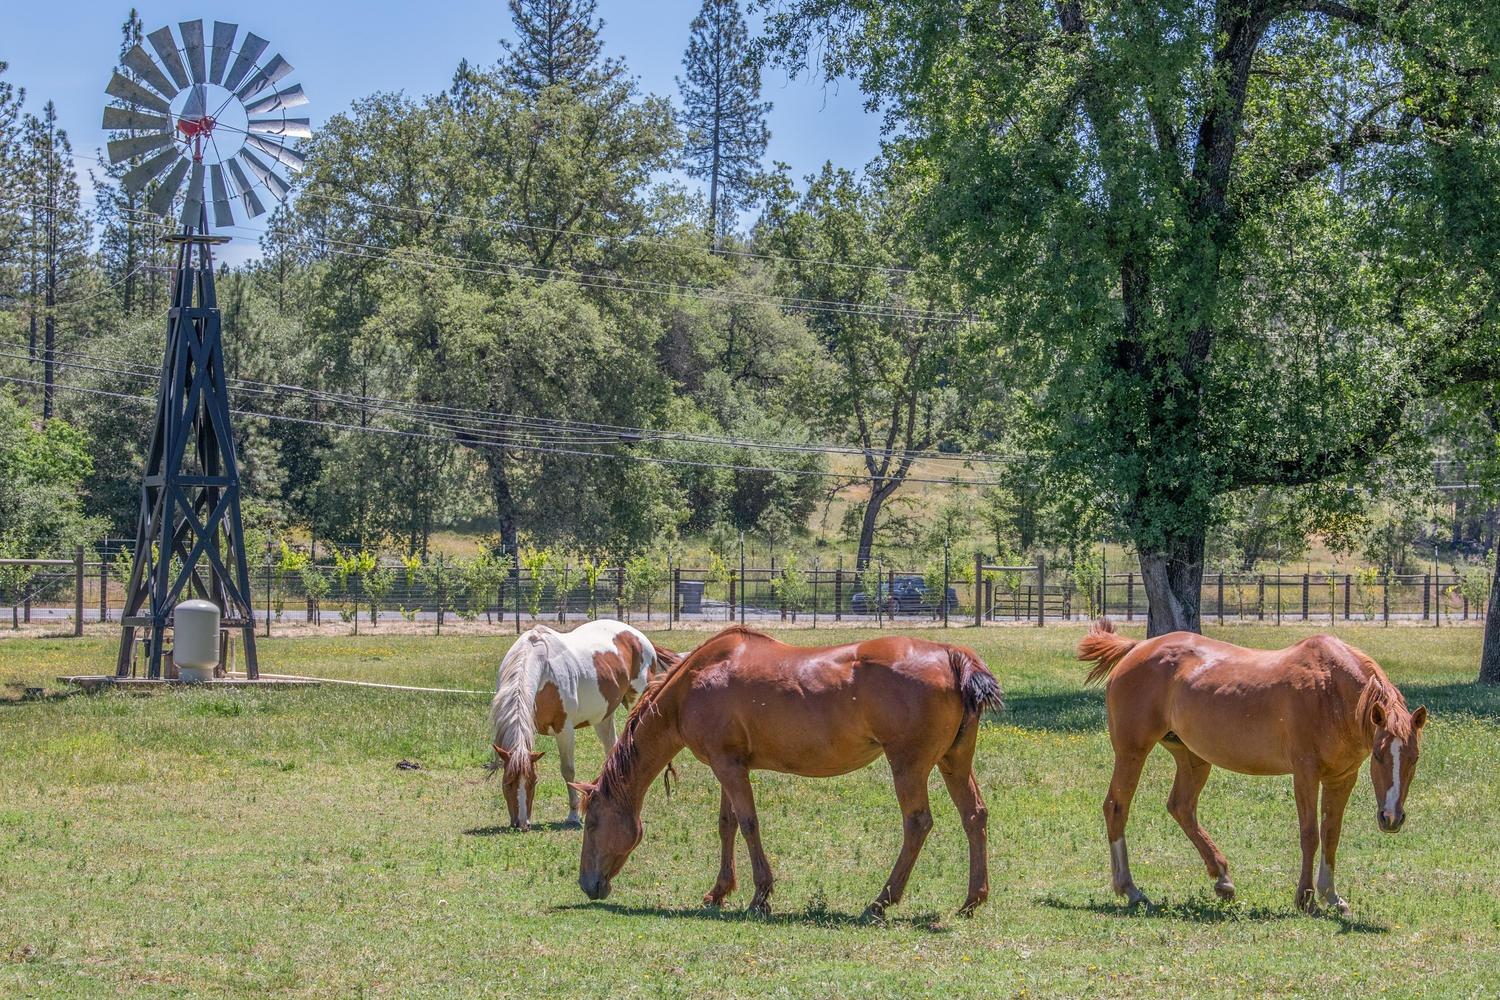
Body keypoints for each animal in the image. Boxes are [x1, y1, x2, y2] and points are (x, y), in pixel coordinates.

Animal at [486, 620, 681, 833]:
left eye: (534, 781)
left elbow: (568, 770)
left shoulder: (564, 729)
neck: (543, 668)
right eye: (507, 782)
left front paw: (573, 816)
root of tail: (638, 636)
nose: (522, 824)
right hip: (604, 716)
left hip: (636, 703)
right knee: (612, 749)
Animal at [567, 626, 1002, 923]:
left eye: (593, 823)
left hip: (908, 767)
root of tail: (953, 655)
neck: (692, 683)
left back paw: (881, 901)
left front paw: (760, 896)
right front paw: (719, 892)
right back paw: (972, 899)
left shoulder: (729, 768)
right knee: (974, 816)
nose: (588, 884)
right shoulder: (729, 765)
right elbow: (726, 825)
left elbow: (748, 824)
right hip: (954, 762)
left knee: (917, 824)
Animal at [1080, 617, 1428, 917]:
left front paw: (1331, 896)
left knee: (1181, 807)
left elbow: (1331, 834)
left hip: (1193, 758)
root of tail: (1136, 648)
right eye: (1379, 756)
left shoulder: (1342, 778)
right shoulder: (1305, 773)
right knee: (1116, 807)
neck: (1329, 689)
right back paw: (1131, 889)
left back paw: (1222, 879)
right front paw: (1305, 898)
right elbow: (1310, 834)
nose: (1391, 818)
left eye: (1414, 758)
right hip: (1132, 752)